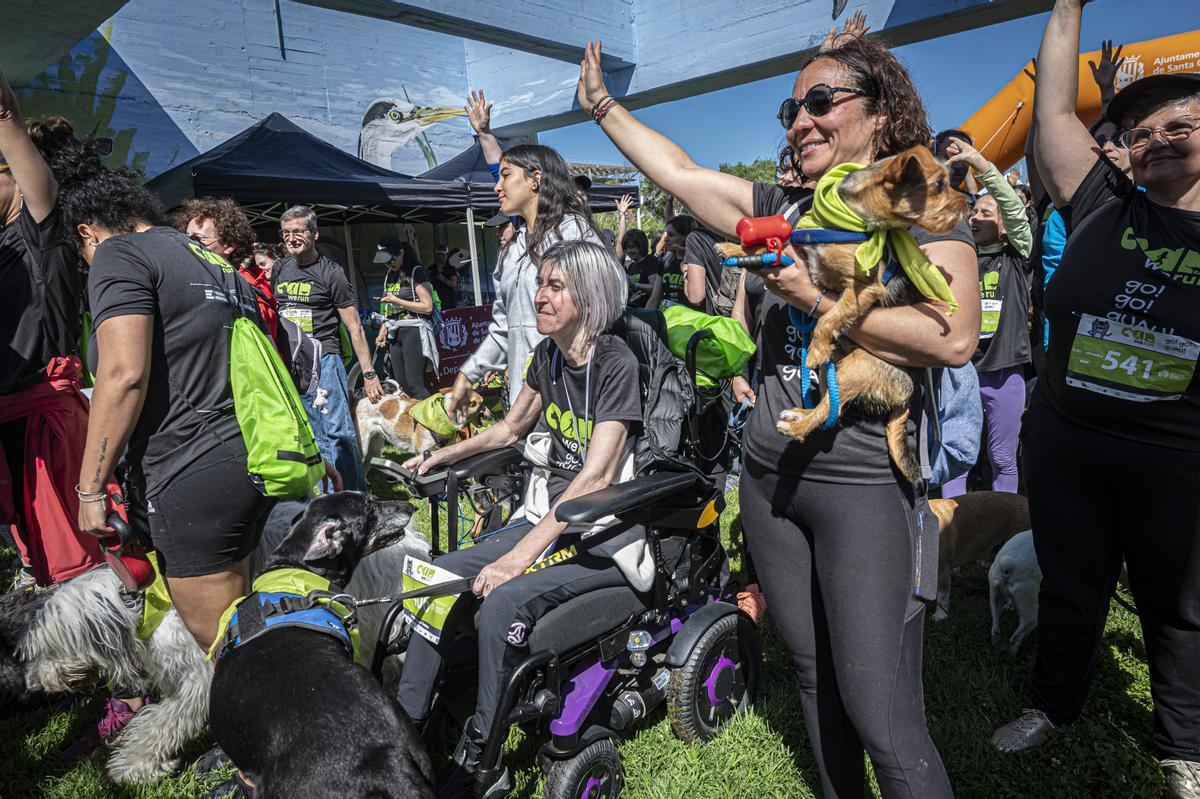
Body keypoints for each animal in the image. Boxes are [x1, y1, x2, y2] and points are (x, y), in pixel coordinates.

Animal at [355, 379, 487, 460]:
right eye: (481, 403)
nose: (488, 410)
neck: (441, 413)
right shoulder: (422, 452)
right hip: (363, 447)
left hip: (374, 449)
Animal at [720, 146, 964, 482]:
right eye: (939, 185)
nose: (969, 203)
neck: (850, 221)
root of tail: (905, 395)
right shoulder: (806, 252)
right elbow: (769, 248)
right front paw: (734, 248)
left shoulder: (863, 287)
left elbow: (829, 317)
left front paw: (816, 346)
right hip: (833, 369)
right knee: (830, 407)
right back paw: (800, 412)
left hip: (855, 368)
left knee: (828, 412)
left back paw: (797, 426)